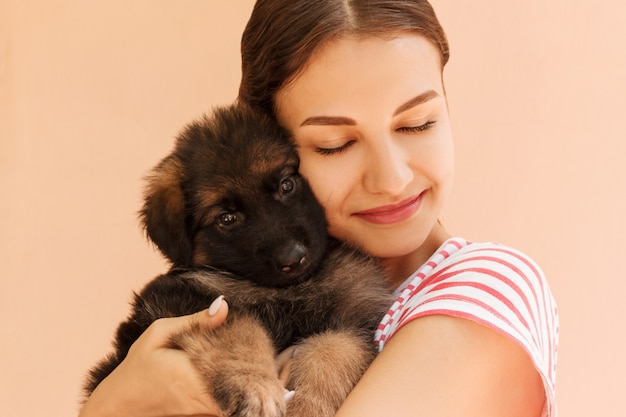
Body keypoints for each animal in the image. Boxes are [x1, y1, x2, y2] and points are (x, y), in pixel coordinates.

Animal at [85, 101, 392, 416]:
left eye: (286, 185)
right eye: (227, 218)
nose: (293, 258)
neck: (290, 290)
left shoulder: (353, 324)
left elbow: (334, 353)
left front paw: (307, 406)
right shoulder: (184, 299)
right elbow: (240, 329)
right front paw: (256, 385)